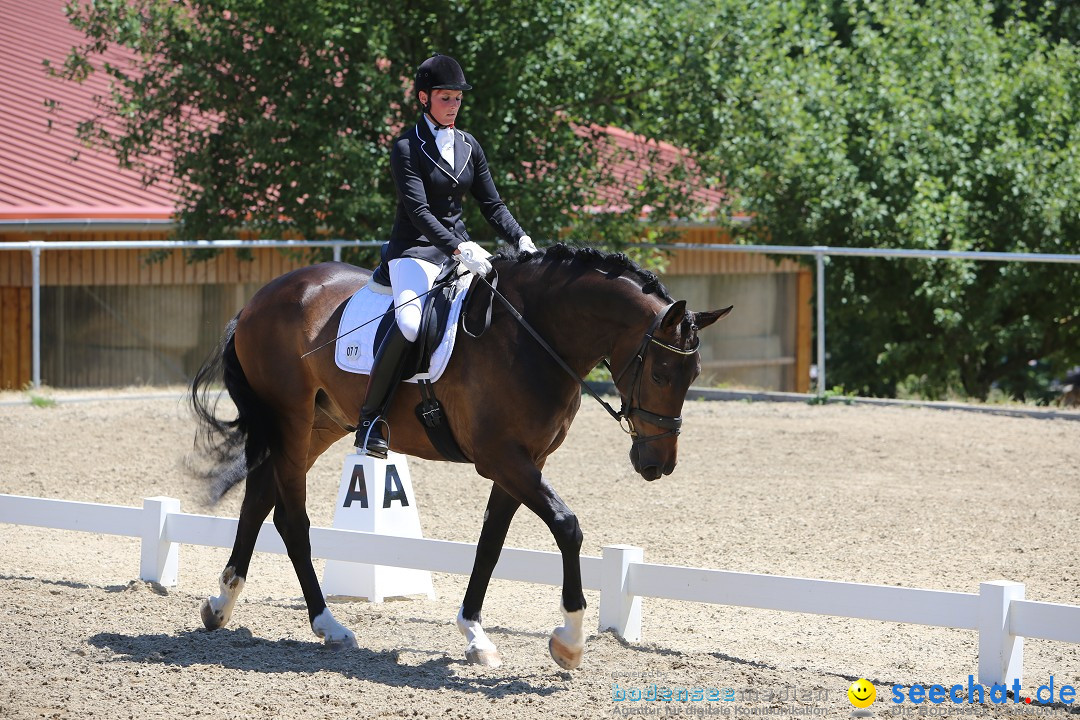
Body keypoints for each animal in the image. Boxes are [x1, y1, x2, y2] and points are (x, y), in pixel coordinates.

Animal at [192, 243, 734, 669]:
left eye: (693, 375)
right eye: (660, 374)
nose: (657, 464)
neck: (534, 335)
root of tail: (260, 299)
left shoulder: (524, 461)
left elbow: (490, 544)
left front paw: (475, 635)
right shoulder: (503, 459)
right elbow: (567, 526)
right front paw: (569, 642)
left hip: (318, 425)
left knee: (259, 499)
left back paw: (220, 606)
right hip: (290, 420)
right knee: (290, 519)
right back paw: (328, 624)